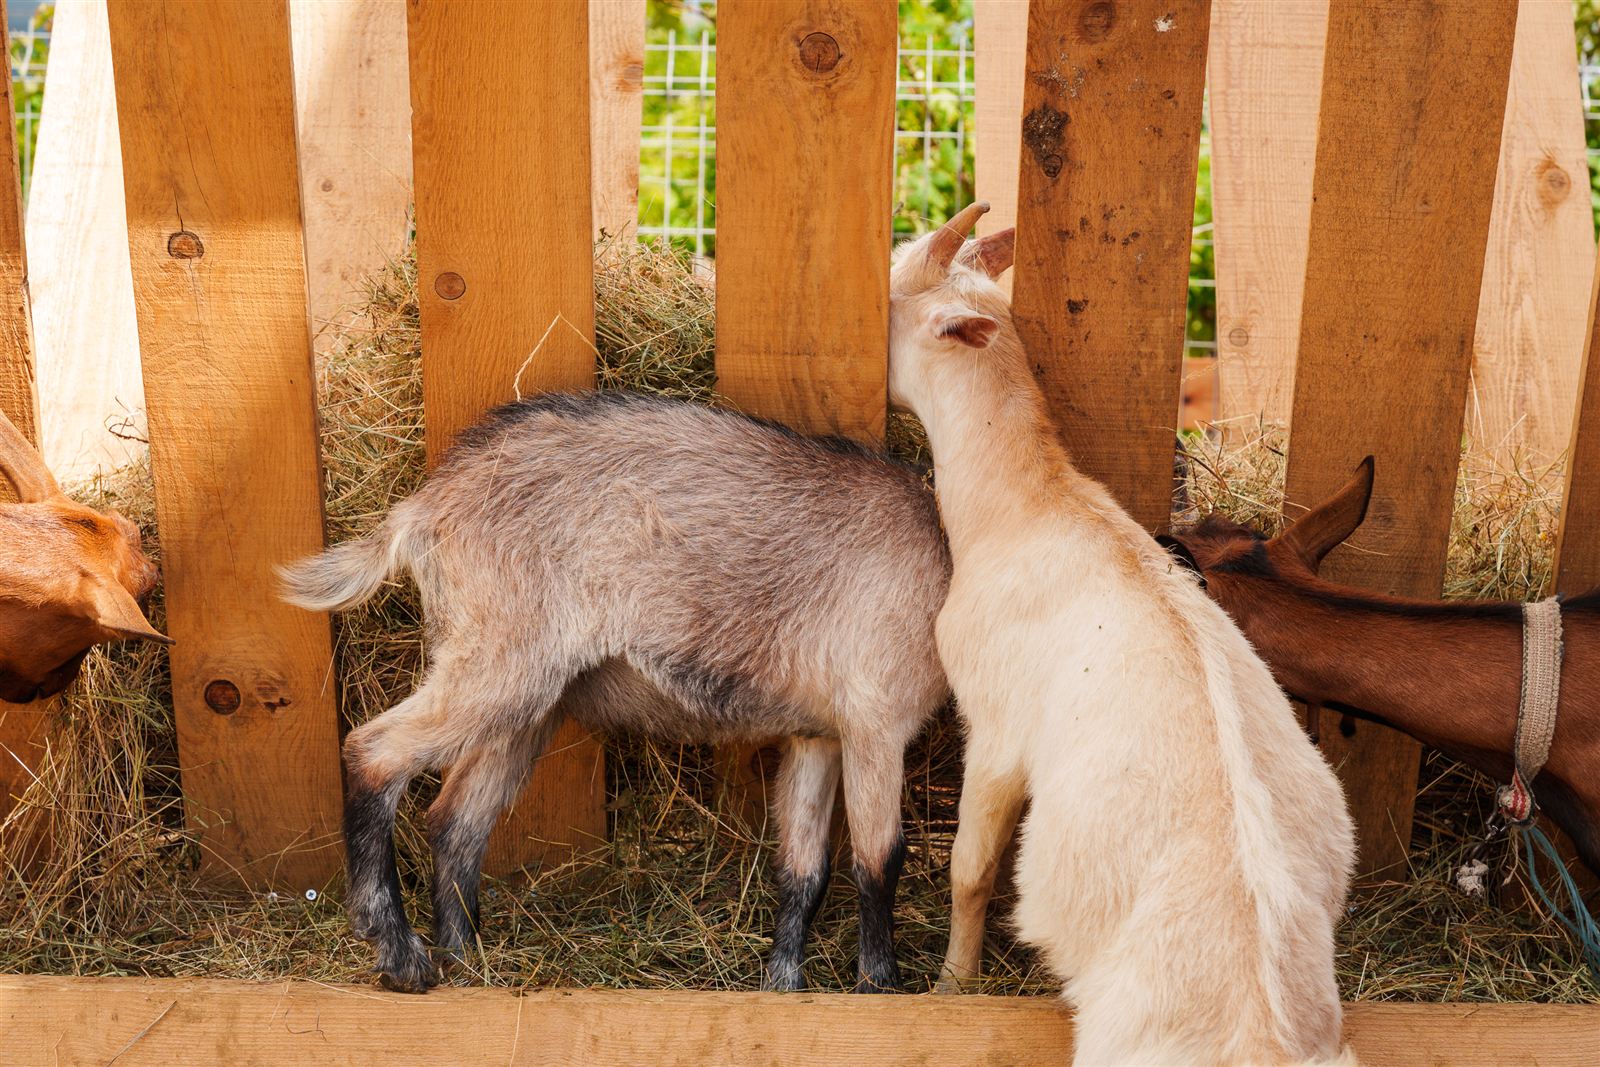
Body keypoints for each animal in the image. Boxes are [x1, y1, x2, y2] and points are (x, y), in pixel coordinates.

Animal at [279, 391, 952, 994]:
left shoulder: (819, 734)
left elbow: (805, 869)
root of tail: (428, 504)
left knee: (455, 820)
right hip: (497, 667)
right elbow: (879, 859)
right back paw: (401, 957)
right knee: (374, 750)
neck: (942, 548)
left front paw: (784, 984)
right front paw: (881, 985)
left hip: (527, 703)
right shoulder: (876, 724)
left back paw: (467, 962)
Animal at [890, 202, 1355, 1065]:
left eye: (890, 288)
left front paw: (953, 981)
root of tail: (1274, 1033)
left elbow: (970, 867)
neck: (1031, 505)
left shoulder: (995, 726)